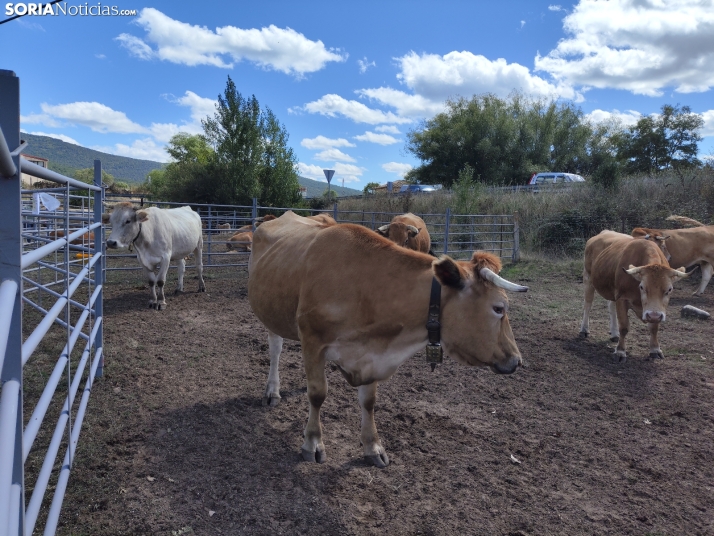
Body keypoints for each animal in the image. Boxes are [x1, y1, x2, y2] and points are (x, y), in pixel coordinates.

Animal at [248, 211, 524, 466]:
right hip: (270, 313)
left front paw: (373, 447)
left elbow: (369, 401)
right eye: (499, 308)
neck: (366, 290)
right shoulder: (313, 339)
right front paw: (313, 442)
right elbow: (317, 394)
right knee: (275, 349)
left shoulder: (372, 354)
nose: (517, 360)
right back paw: (272, 390)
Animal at [580, 232, 688, 362]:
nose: (653, 315)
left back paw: (614, 334)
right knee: (588, 305)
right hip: (588, 278)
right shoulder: (622, 299)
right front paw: (620, 351)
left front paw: (655, 349)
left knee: (611, 307)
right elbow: (624, 327)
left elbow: (654, 328)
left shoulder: (657, 310)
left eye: (669, 289)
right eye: (641, 287)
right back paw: (584, 330)